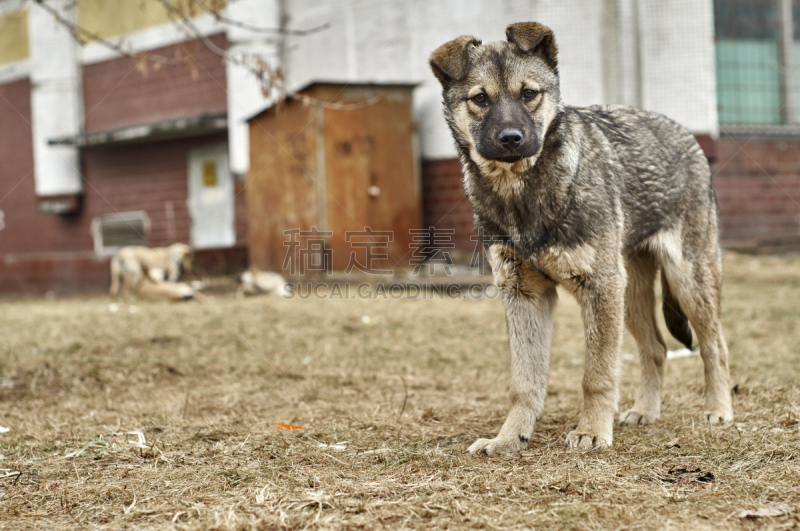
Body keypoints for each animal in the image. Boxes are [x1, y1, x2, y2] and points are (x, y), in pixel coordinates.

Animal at [432, 22, 732, 458]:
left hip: (686, 282)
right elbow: (523, 382)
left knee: (715, 345)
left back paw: (718, 409)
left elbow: (597, 375)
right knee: (656, 349)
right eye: (480, 99)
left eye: (528, 94)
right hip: (631, 296)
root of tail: (687, 136)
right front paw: (509, 438)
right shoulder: (524, 294)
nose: (510, 138)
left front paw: (590, 431)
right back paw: (645, 411)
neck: (523, 192)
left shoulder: (599, 288)